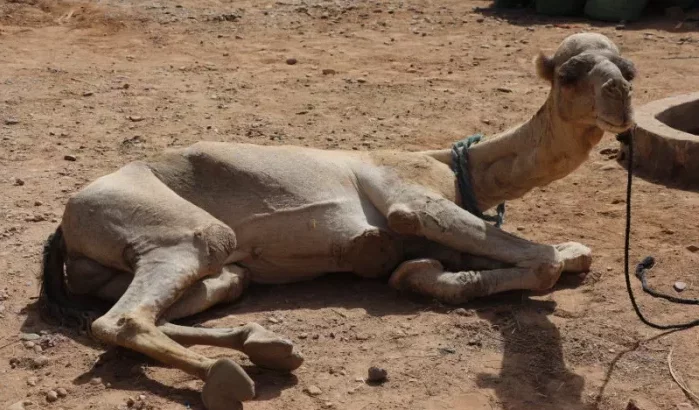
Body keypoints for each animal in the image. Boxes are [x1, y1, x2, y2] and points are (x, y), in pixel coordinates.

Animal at [41, 32, 636, 410]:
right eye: (570, 74)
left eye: (628, 68)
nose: (621, 95)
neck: (461, 168)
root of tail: (64, 222)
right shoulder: (409, 200)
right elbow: (542, 261)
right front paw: (422, 276)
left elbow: (566, 254)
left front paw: (421, 274)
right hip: (173, 227)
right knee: (121, 319)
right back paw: (227, 378)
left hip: (194, 269)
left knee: (188, 295)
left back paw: (269, 347)